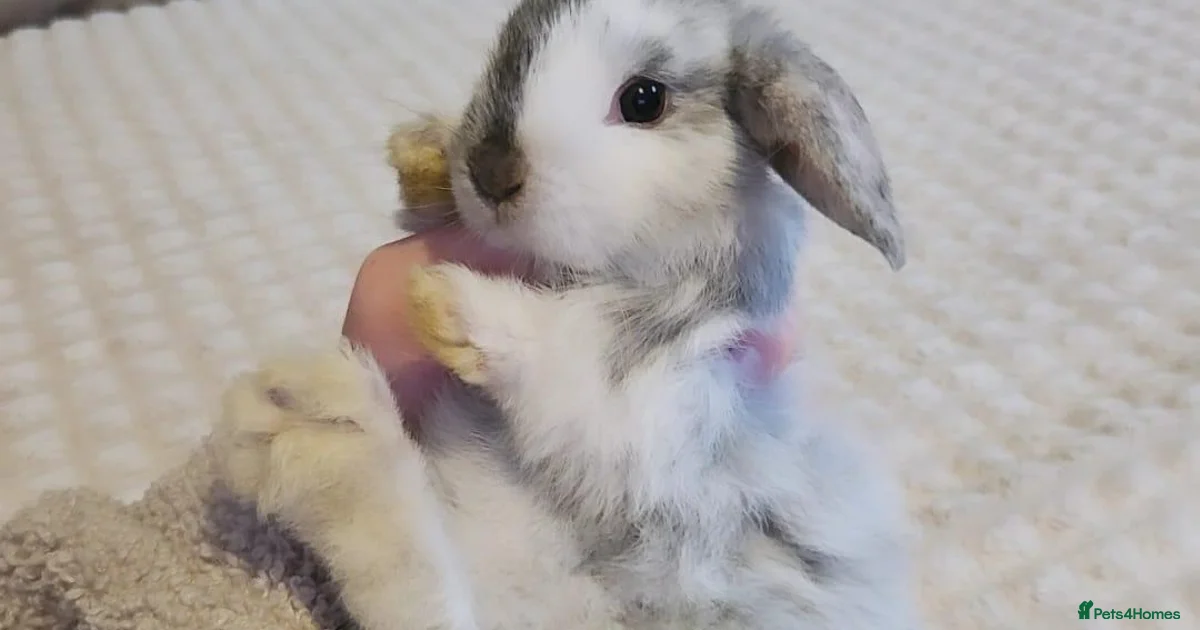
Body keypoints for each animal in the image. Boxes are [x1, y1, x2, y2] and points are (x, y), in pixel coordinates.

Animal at [210, 0, 922, 628]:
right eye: (506, 44)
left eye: (644, 100)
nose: (490, 172)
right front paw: (421, 156)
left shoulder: (678, 393)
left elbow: (586, 349)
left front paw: (446, 302)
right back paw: (303, 426)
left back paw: (307, 422)